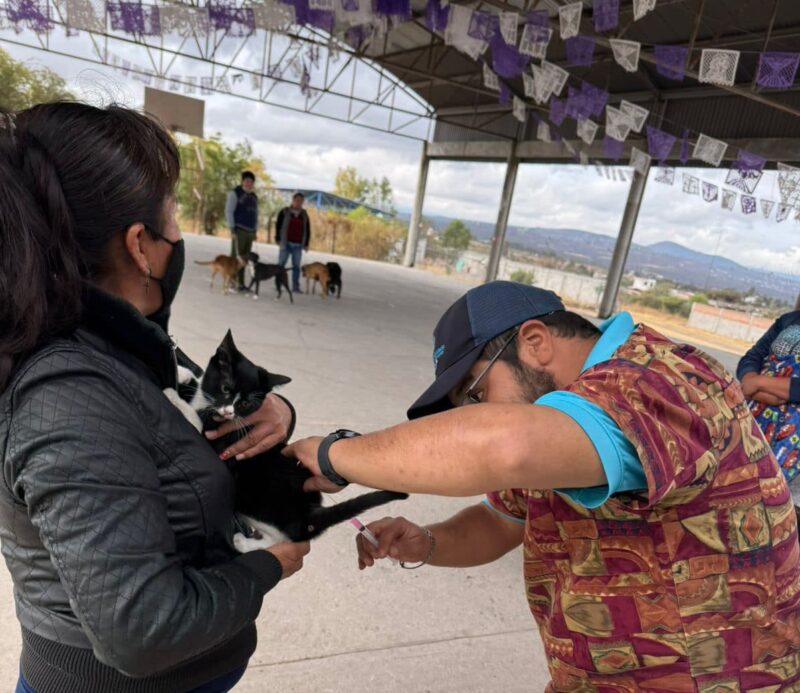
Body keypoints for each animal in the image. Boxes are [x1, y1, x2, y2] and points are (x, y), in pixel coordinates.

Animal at [169, 330, 406, 552]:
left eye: (246, 404)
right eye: (226, 388)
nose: (228, 412)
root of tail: (309, 514)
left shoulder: (221, 441)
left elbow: (194, 421)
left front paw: (173, 395)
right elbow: (196, 386)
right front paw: (184, 374)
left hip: (253, 498)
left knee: (281, 538)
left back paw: (244, 543)